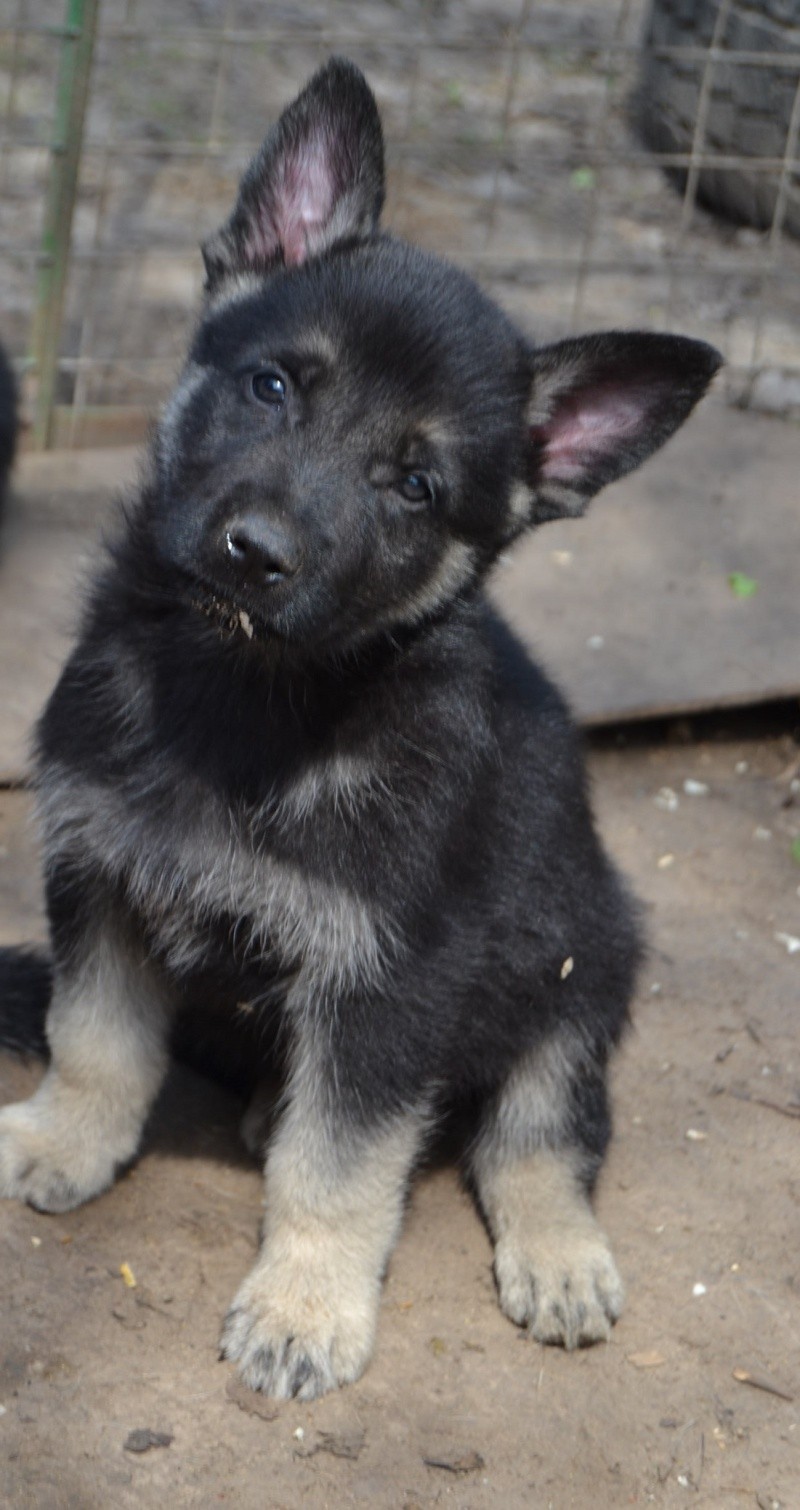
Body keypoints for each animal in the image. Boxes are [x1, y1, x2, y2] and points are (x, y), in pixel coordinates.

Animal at [0, 61, 718, 1401]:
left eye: (414, 486)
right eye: (272, 384)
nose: (254, 555)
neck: (250, 697)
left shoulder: (387, 977)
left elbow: (339, 1165)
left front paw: (303, 1306)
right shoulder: (101, 877)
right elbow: (96, 1043)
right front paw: (62, 1142)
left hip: (580, 961)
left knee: (539, 1131)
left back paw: (558, 1253)